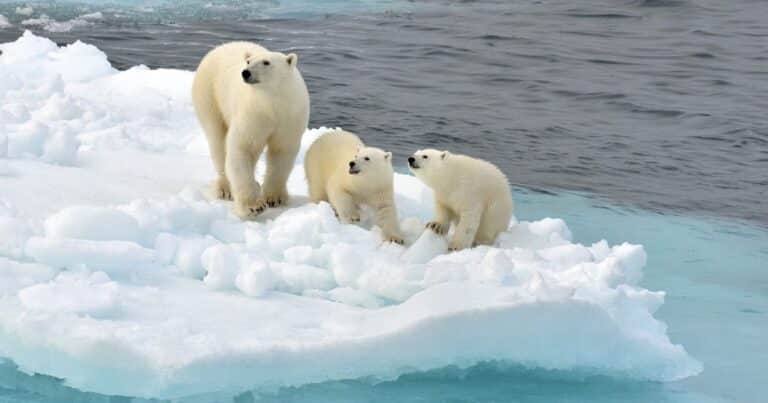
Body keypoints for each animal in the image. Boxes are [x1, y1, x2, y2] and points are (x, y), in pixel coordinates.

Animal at [191, 41, 310, 219]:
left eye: (266, 62)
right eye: (248, 61)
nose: (245, 72)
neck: (272, 103)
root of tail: (219, 48)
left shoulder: (290, 116)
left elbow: (282, 151)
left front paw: (275, 198)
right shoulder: (253, 112)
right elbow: (243, 147)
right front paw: (253, 207)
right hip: (209, 95)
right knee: (217, 140)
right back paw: (226, 189)